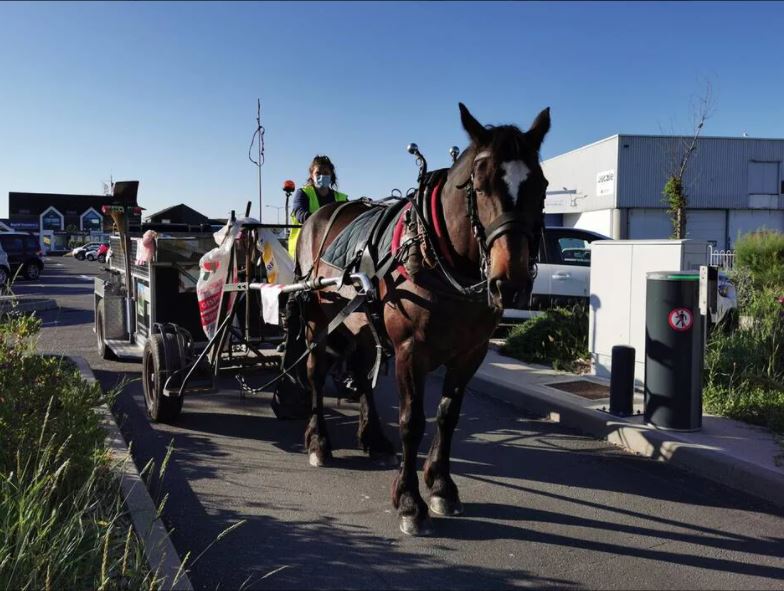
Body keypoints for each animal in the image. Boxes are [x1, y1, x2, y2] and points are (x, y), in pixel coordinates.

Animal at [292, 103, 552, 536]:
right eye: (479, 184)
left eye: (542, 185)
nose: (511, 283)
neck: (439, 254)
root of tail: (322, 213)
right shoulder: (410, 351)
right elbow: (413, 421)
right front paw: (410, 501)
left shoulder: (472, 352)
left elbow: (448, 416)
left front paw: (441, 485)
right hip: (318, 317)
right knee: (314, 371)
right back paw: (318, 441)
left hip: (362, 322)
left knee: (361, 369)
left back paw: (374, 439)